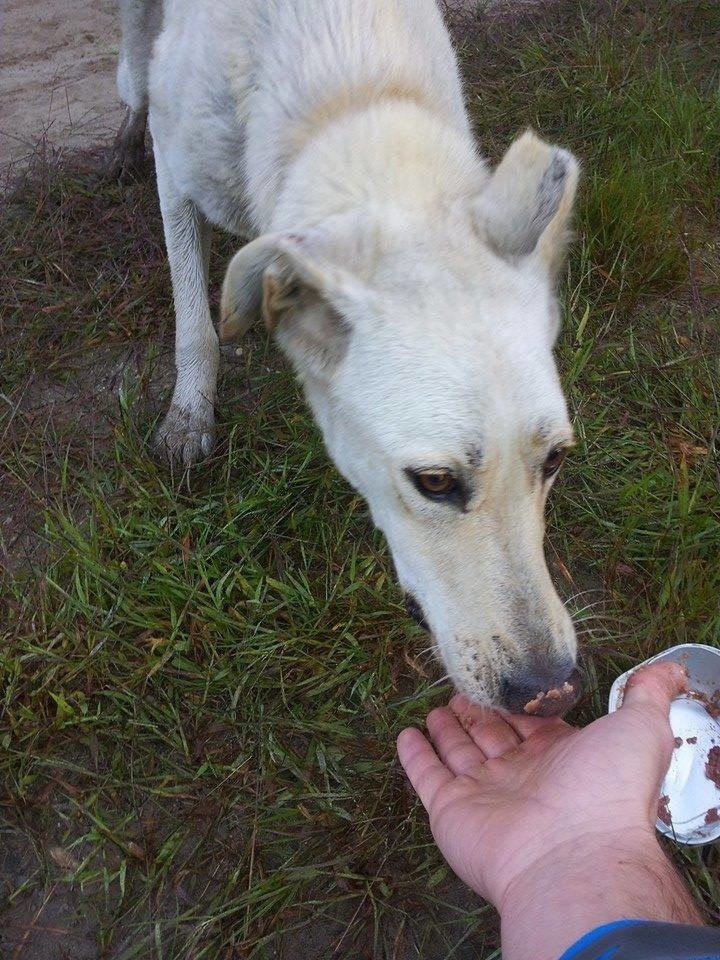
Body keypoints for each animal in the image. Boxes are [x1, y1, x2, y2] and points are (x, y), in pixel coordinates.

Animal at [115, 0, 584, 712]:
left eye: (554, 458)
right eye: (434, 482)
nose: (551, 693)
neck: (354, 99)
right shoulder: (178, 174)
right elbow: (194, 319)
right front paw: (189, 414)